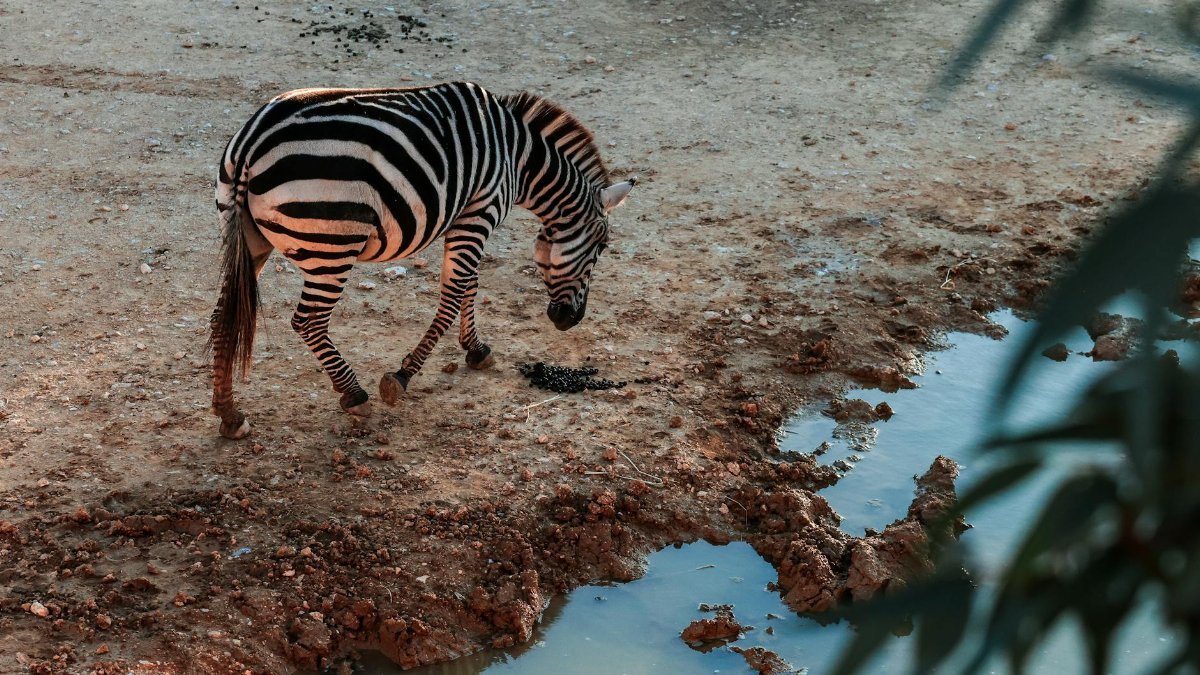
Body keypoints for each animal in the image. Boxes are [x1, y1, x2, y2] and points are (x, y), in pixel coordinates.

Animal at [209, 82, 636, 439]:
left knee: (221, 316)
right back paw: (354, 394)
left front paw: (475, 349)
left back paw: (229, 414)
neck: (519, 157)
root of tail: (251, 141)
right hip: (332, 245)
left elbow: (470, 285)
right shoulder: (479, 211)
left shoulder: (464, 216)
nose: (569, 321)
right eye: (602, 247)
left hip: (246, 235)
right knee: (308, 321)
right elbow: (453, 295)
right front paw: (402, 376)